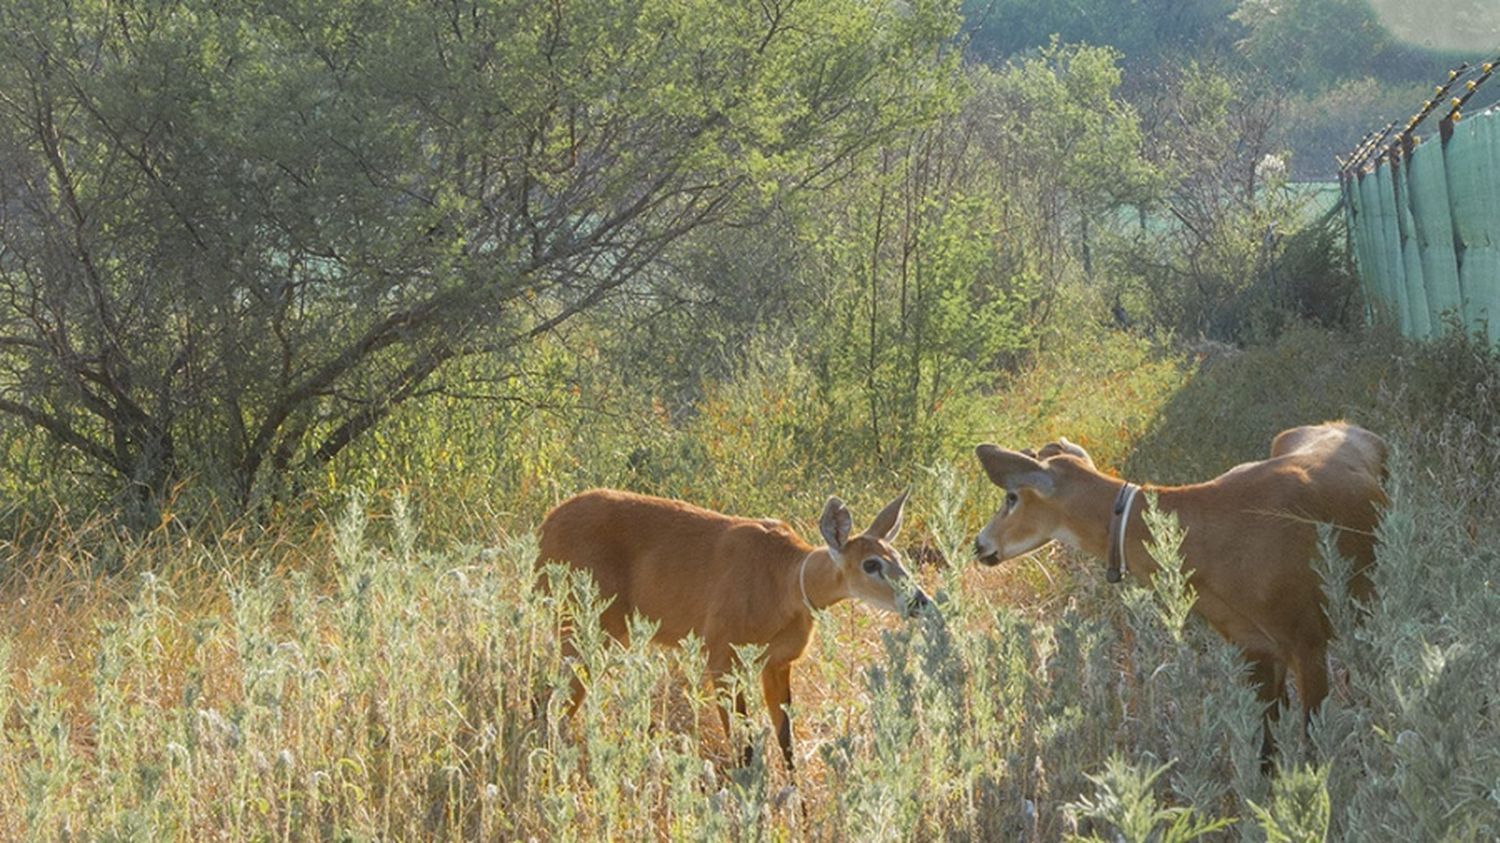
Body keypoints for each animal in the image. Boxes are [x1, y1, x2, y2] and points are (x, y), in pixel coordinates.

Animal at [534, 486, 930, 768]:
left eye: (899, 558)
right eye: (871, 564)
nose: (921, 601)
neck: (786, 583)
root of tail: (544, 528)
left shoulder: (778, 662)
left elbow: (786, 745)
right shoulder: (722, 652)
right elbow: (744, 747)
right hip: (583, 623)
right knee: (555, 705)